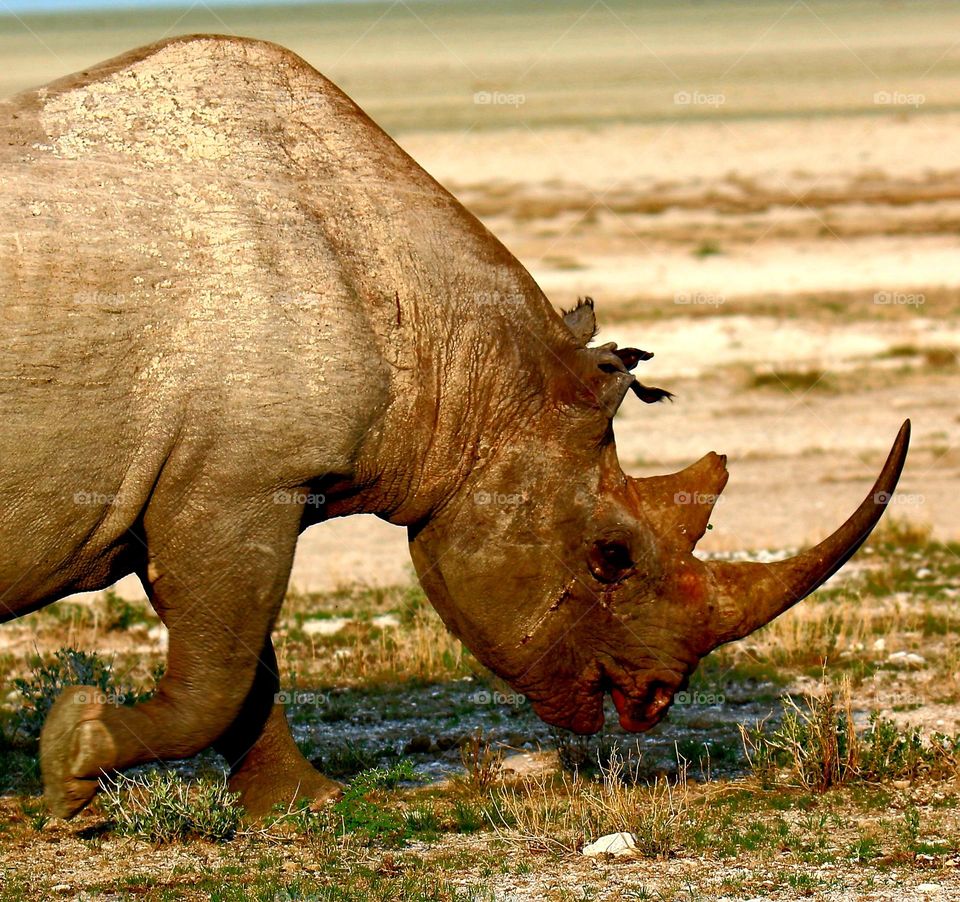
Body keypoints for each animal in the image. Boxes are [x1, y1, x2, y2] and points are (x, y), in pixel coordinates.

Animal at [0, 35, 909, 819]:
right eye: (610, 559)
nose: (652, 699)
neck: (458, 363)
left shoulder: (221, 484)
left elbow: (245, 665)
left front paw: (304, 805)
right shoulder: (236, 482)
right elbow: (219, 675)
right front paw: (74, 766)